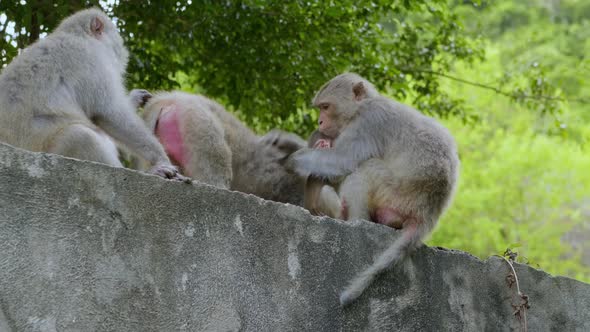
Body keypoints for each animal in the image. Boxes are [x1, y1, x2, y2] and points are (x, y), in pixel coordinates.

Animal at [0, 9, 184, 180]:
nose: (125, 52)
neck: (78, 35)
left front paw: (134, 98)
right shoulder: (91, 59)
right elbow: (108, 112)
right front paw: (161, 159)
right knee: (80, 136)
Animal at [286, 73, 462, 306]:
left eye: (325, 106)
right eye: (319, 108)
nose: (319, 122)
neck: (359, 108)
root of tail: (429, 214)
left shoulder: (368, 121)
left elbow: (343, 160)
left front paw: (293, 159)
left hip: (397, 195)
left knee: (364, 171)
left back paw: (353, 220)